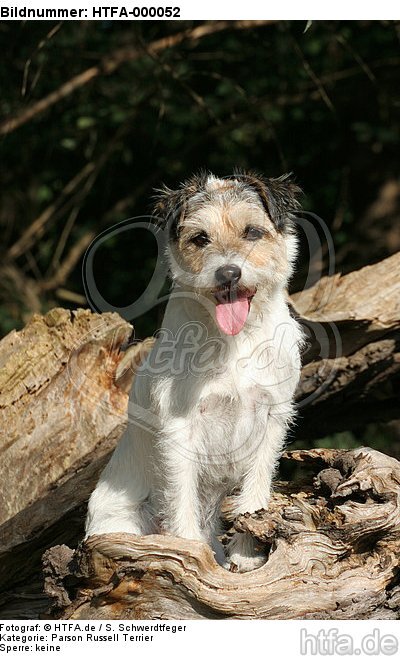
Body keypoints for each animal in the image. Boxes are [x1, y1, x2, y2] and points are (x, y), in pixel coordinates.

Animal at [85, 172, 304, 572]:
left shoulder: (273, 417)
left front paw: (246, 554)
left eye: (252, 232)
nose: (228, 273)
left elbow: (255, 489)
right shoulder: (179, 427)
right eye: (201, 238)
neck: (236, 340)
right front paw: (188, 552)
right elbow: (181, 497)